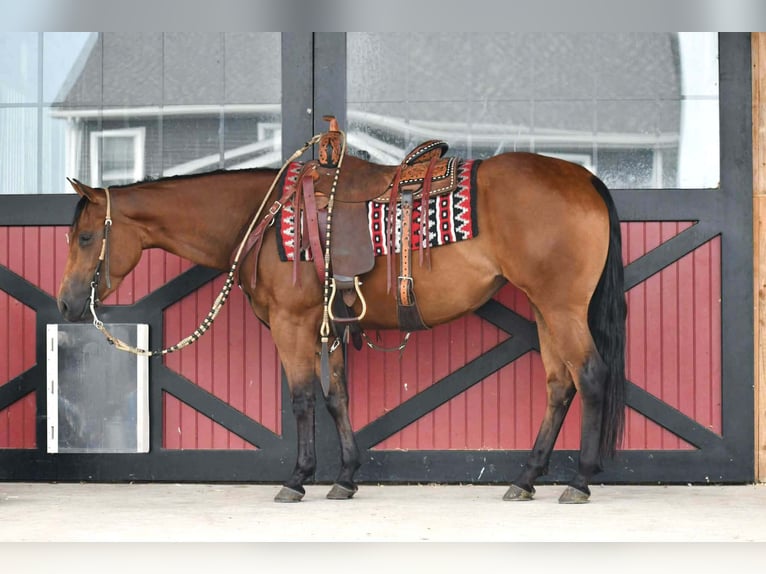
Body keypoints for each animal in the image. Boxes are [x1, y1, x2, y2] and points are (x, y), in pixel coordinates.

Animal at [56, 132, 626, 504]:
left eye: (84, 236)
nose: (65, 304)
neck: (265, 218)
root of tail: (584, 177)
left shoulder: (292, 324)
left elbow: (303, 399)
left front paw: (297, 478)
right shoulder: (326, 326)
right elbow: (336, 398)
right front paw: (346, 476)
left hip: (561, 308)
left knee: (591, 376)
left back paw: (579, 481)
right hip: (544, 308)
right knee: (560, 385)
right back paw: (526, 478)